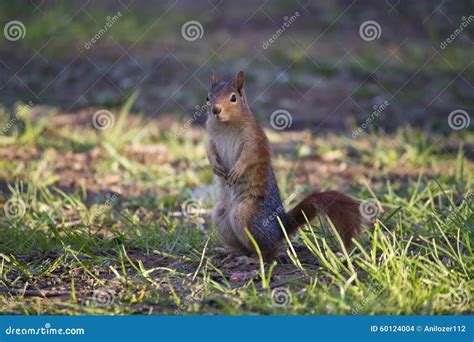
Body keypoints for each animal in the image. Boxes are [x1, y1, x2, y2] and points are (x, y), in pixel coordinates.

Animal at [206, 71, 362, 260]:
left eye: (233, 98)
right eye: (208, 97)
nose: (215, 110)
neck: (226, 124)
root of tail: (281, 226)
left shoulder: (255, 139)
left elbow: (250, 155)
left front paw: (237, 169)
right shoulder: (211, 139)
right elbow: (209, 151)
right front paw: (215, 166)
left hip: (246, 215)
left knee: (270, 249)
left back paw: (253, 259)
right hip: (220, 217)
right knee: (244, 246)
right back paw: (230, 251)